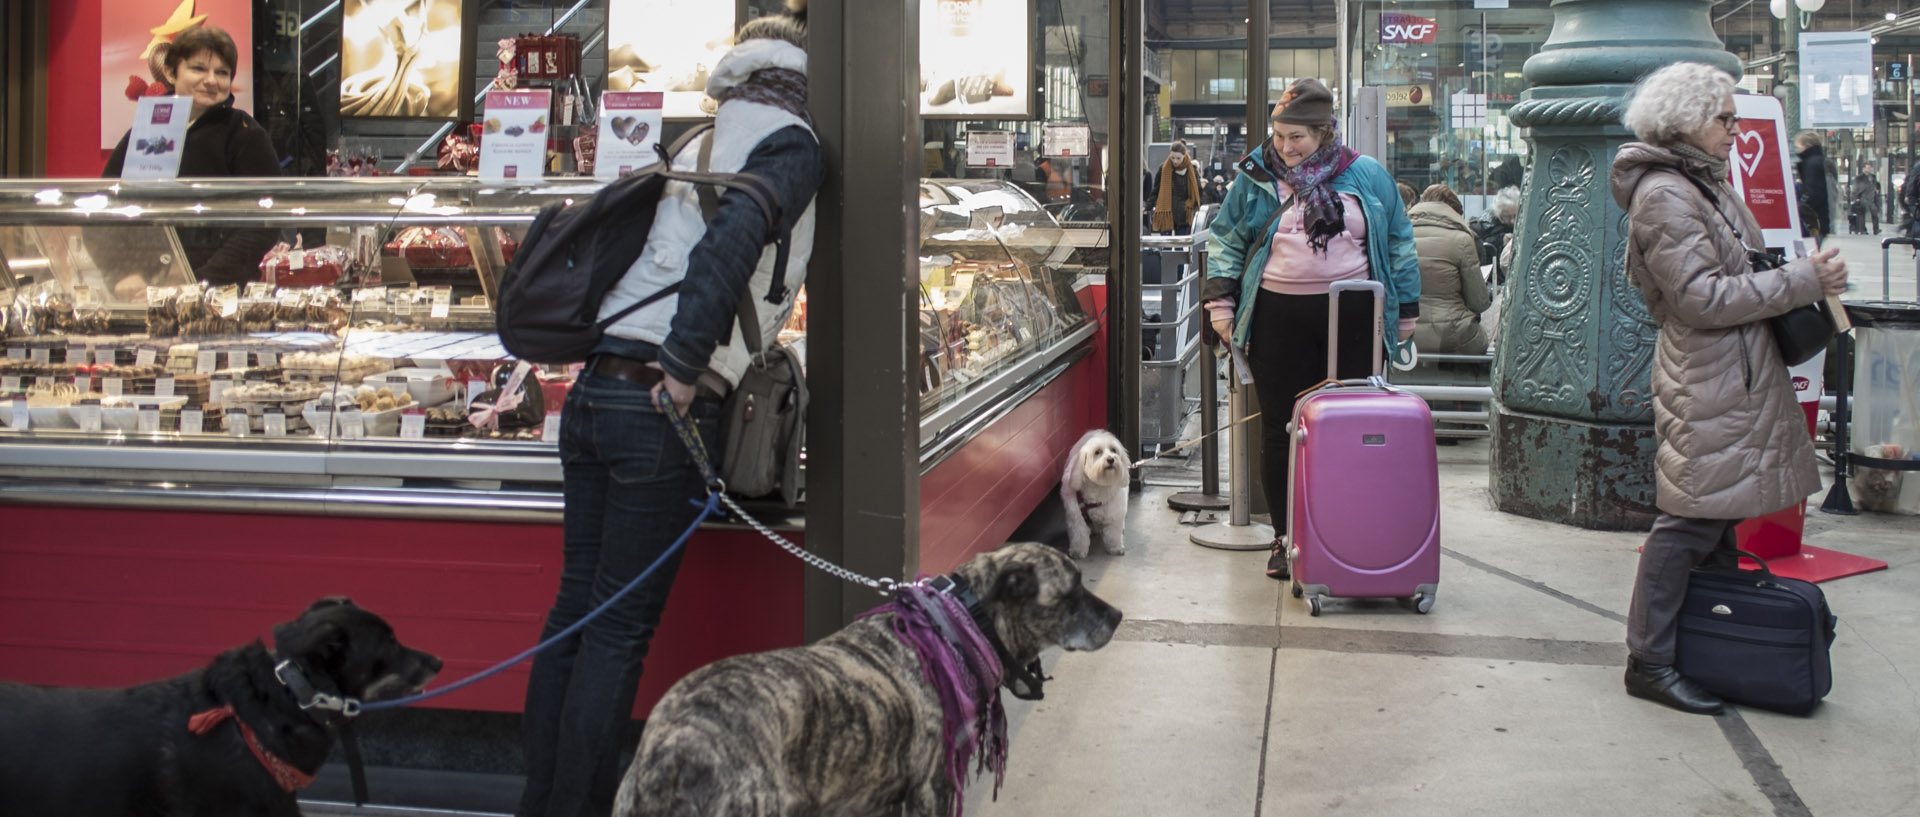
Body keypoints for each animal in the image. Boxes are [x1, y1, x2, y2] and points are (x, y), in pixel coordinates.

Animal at [1067, 431, 1121, 560]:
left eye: (1114, 450)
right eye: (1097, 452)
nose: (1111, 459)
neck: (1098, 485)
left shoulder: (1114, 513)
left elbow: (1113, 532)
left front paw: (1115, 547)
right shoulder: (1076, 517)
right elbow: (1079, 533)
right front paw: (1078, 551)